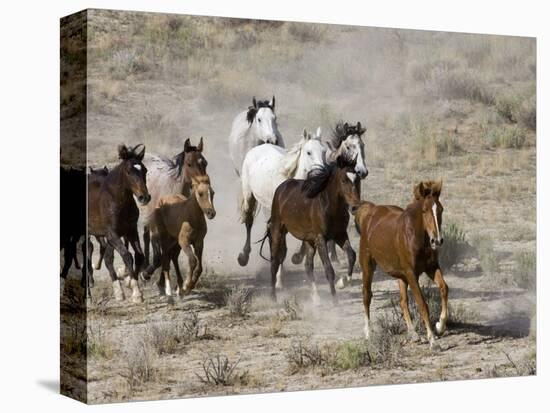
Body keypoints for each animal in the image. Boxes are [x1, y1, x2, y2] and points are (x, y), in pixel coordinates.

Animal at [89, 145, 153, 302]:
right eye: (129, 171)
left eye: (145, 170)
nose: (144, 197)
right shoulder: (112, 234)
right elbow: (127, 255)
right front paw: (136, 292)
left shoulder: (131, 230)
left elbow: (139, 255)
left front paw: (128, 283)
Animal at [237, 126, 328, 286]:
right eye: (309, 152)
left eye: (324, 151)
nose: (321, 174)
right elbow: (280, 246)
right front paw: (279, 281)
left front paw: (297, 257)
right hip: (249, 196)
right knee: (249, 221)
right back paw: (244, 257)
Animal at [264, 154, 362, 302]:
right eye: (344, 180)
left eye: (357, 179)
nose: (355, 207)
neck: (329, 207)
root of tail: (281, 187)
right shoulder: (321, 238)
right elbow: (329, 269)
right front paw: (335, 301)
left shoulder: (340, 234)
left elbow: (352, 255)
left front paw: (342, 283)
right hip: (278, 231)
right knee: (274, 262)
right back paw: (273, 297)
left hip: (309, 240)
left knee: (308, 266)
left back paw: (316, 298)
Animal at [356, 179, 450, 348]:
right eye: (424, 210)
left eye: (441, 209)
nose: (437, 240)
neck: (416, 237)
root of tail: (371, 210)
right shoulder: (411, 274)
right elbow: (422, 304)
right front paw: (432, 340)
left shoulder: (431, 268)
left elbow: (444, 288)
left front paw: (440, 326)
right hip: (368, 267)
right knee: (367, 295)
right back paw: (368, 333)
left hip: (401, 276)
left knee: (402, 302)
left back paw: (413, 334)